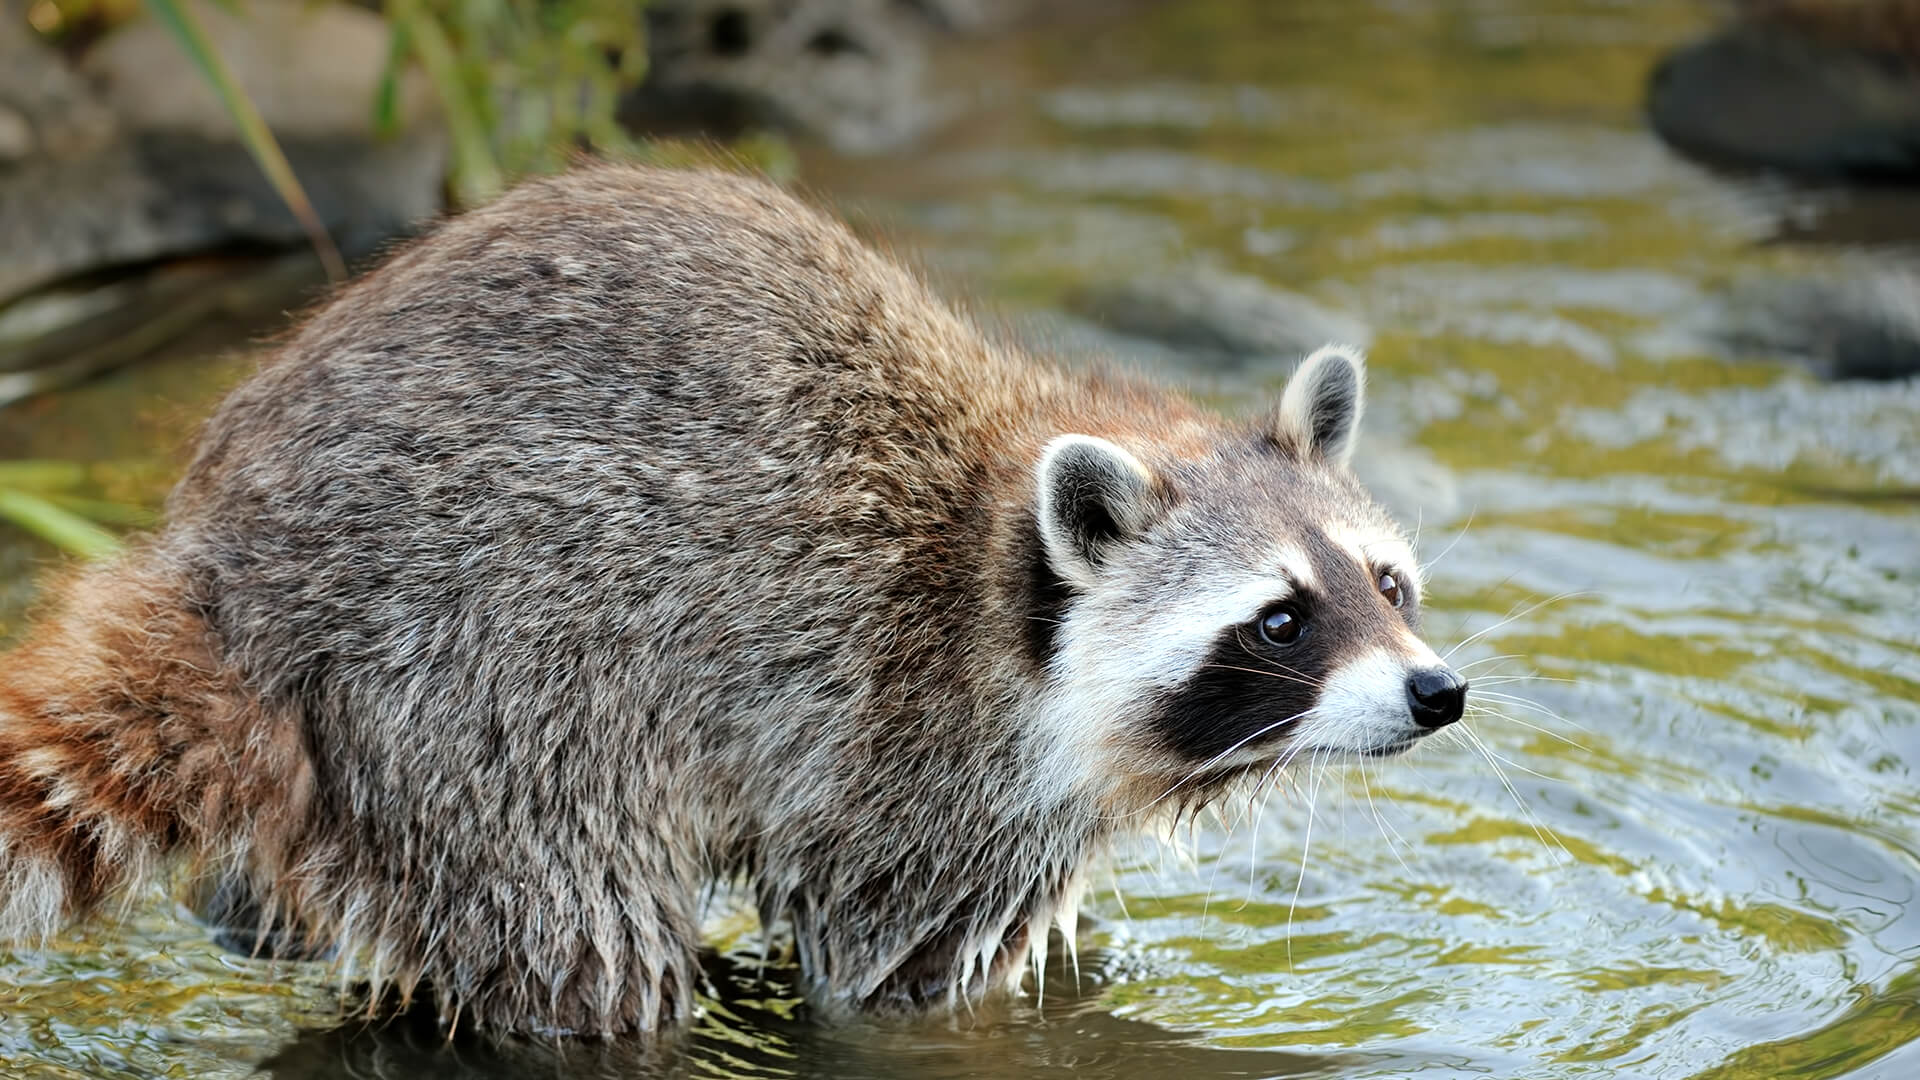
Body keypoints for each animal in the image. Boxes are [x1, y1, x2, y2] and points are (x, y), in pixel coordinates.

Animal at [0, 166, 1466, 1037]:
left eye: (1386, 583)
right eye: (1282, 619)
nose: (1438, 692)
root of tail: (233, 566)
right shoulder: (908, 756)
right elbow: (886, 972)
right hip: (477, 689)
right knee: (589, 940)